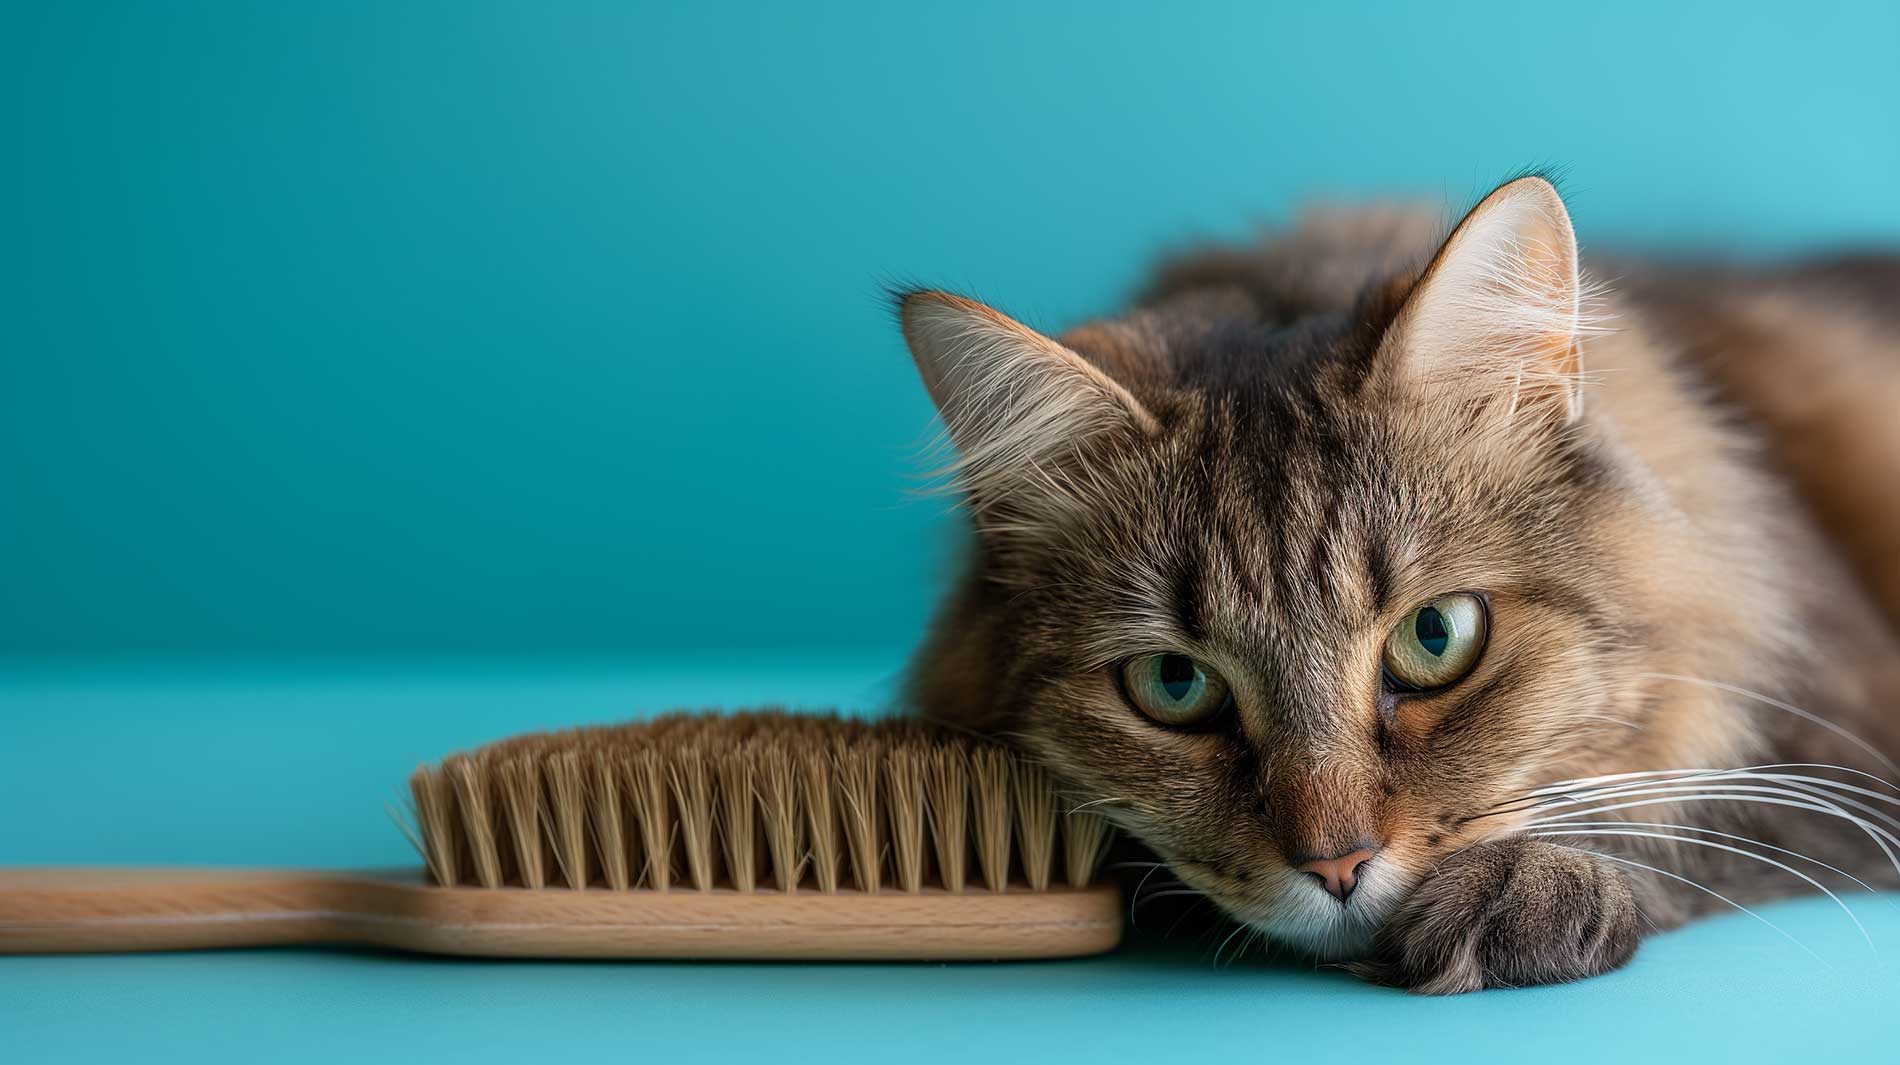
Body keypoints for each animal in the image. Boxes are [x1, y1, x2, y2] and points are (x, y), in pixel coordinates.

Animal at [896, 169, 1900, 994]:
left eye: (1435, 635)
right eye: (1174, 684)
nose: (1336, 866)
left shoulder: (1836, 747)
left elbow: (1676, 819)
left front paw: (1522, 890)